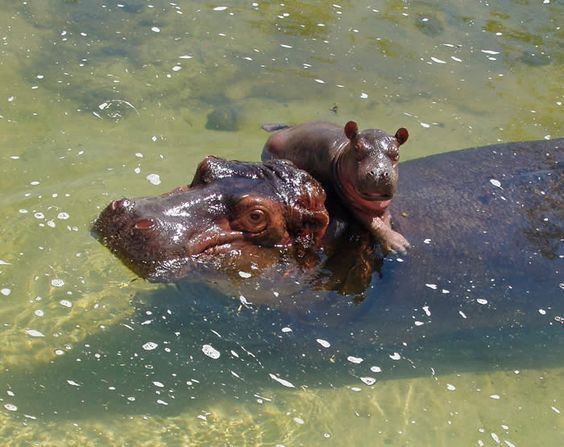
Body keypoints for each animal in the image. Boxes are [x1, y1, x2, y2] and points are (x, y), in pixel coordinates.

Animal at [260, 121, 410, 256]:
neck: (343, 152)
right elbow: (373, 223)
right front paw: (400, 246)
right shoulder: (350, 204)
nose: (379, 173)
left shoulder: (383, 206)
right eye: (357, 148)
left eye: (396, 153)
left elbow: (386, 220)